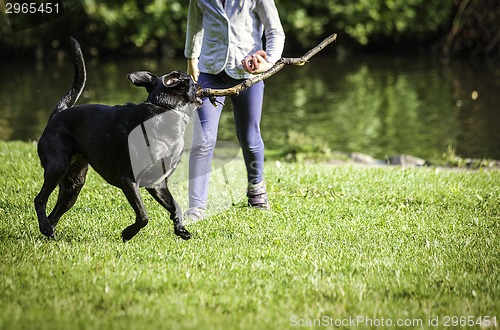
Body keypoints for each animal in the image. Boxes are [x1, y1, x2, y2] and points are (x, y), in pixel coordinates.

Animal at [33, 38, 201, 241]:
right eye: (191, 80)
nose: (200, 84)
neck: (165, 109)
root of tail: (57, 114)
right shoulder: (128, 179)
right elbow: (143, 215)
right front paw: (128, 233)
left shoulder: (158, 183)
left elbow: (175, 206)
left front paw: (181, 229)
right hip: (57, 167)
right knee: (39, 199)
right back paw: (46, 228)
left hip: (73, 185)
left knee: (55, 213)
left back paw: (48, 232)